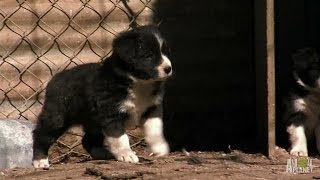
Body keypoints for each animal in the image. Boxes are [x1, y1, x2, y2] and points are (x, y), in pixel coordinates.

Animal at [32, 24, 172, 168]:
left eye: (165, 52)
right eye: (148, 55)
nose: (169, 69)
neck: (139, 83)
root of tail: (54, 79)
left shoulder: (152, 108)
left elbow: (155, 129)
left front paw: (160, 148)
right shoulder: (111, 112)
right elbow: (120, 137)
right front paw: (127, 155)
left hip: (93, 122)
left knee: (87, 140)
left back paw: (103, 154)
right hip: (57, 118)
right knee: (41, 135)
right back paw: (40, 161)